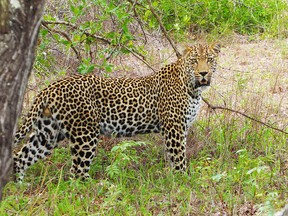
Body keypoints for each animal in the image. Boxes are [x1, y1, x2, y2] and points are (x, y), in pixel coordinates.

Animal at [13, 43, 220, 182]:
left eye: (209, 60)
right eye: (194, 61)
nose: (203, 73)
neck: (192, 87)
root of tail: (51, 87)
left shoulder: (180, 128)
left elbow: (174, 157)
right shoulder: (174, 127)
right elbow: (178, 158)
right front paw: (183, 181)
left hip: (48, 133)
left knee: (20, 157)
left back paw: (18, 188)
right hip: (85, 135)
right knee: (77, 173)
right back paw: (94, 190)